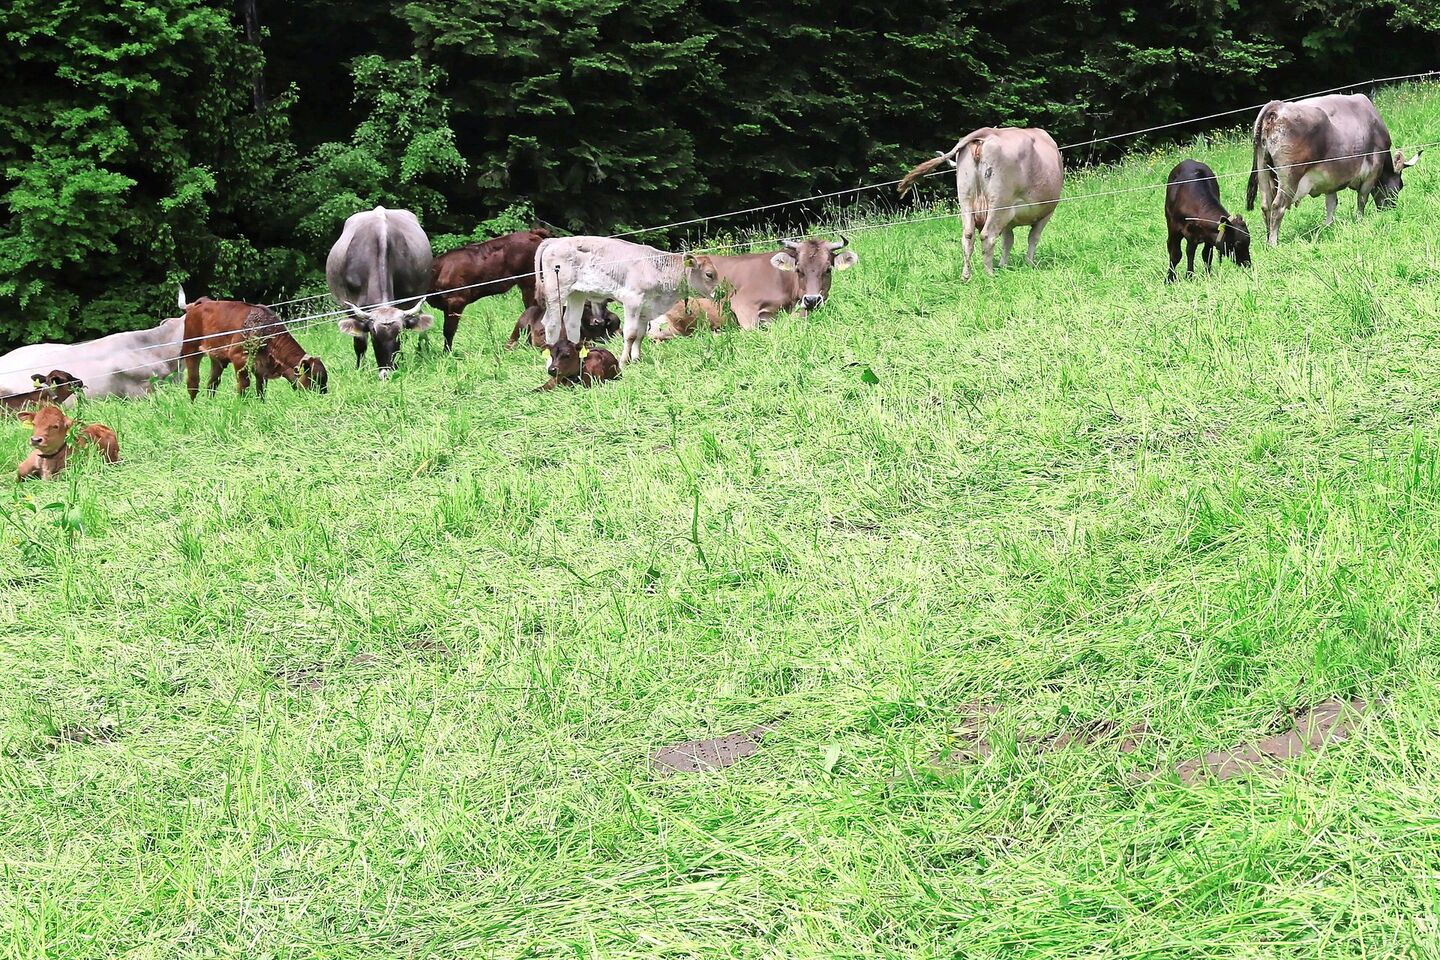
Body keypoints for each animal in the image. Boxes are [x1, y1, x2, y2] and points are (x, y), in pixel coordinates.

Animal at [179, 293, 328, 399]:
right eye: (315, 379)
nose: (323, 395)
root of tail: (200, 304)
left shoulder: (262, 367)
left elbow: (261, 390)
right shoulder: (239, 358)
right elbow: (243, 386)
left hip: (217, 358)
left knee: (212, 383)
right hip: (191, 350)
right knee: (193, 382)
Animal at [326, 206, 434, 378]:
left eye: (398, 336)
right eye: (374, 337)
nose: (386, 373)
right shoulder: (351, 307)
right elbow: (359, 343)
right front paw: (360, 369)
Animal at [534, 237, 721, 364]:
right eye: (709, 274)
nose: (720, 292)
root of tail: (555, 240)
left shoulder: (646, 307)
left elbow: (641, 334)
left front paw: (637, 359)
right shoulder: (632, 300)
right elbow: (630, 334)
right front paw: (624, 361)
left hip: (576, 293)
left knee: (571, 322)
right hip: (556, 291)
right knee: (551, 324)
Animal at [899, 127, 1063, 280]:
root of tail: (986, 132)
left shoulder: (1009, 221)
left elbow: (1008, 241)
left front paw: (1003, 266)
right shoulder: (1046, 212)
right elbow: (1032, 238)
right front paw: (1029, 264)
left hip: (966, 200)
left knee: (967, 236)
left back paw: (965, 276)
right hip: (999, 204)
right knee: (988, 236)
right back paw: (989, 274)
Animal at [1247, 93, 1421, 246]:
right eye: (1400, 185)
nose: (1391, 210)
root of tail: (1277, 106)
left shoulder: (1330, 181)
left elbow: (1331, 204)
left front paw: (1328, 226)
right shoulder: (1371, 174)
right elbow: (1362, 199)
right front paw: (1359, 220)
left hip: (1263, 173)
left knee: (1266, 207)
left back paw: (1268, 239)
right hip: (1290, 177)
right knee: (1278, 206)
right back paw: (1273, 243)